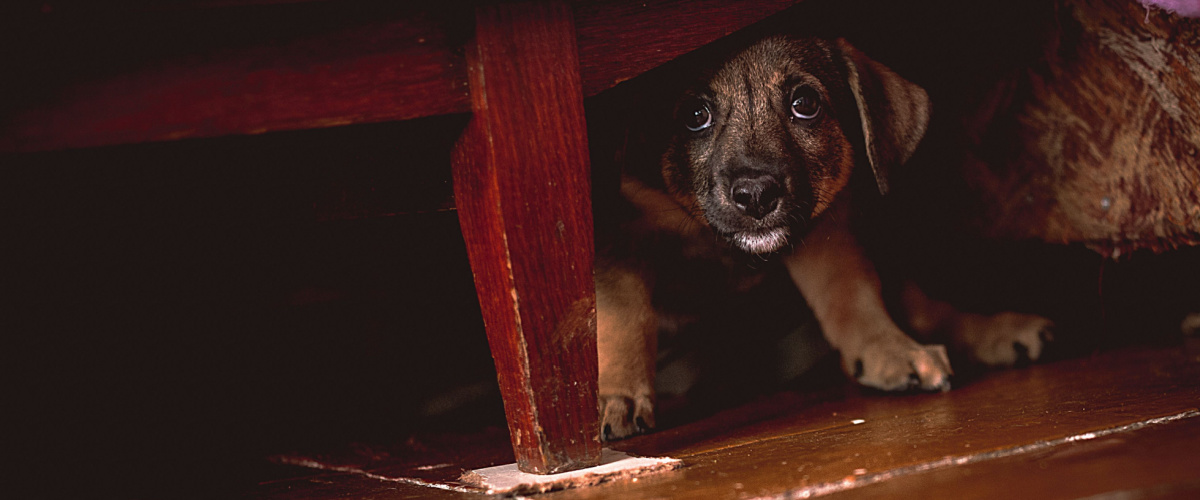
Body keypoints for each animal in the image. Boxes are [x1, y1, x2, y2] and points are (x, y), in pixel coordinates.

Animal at [595, 35, 1056, 441]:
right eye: (695, 115)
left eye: (805, 105)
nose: (756, 195)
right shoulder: (621, 237)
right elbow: (624, 317)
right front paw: (617, 397)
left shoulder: (825, 230)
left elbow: (851, 294)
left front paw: (888, 349)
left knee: (923, 306)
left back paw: (996, 331)